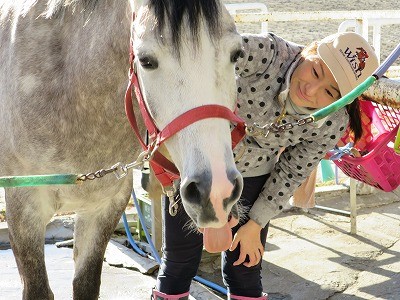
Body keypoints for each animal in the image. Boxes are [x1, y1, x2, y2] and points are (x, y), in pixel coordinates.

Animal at [0, 1, 244, 298]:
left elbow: (86, 284)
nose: (216, 190)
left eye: (236, 54)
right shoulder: (24, 208)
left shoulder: (104, 206)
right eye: (146, 61)